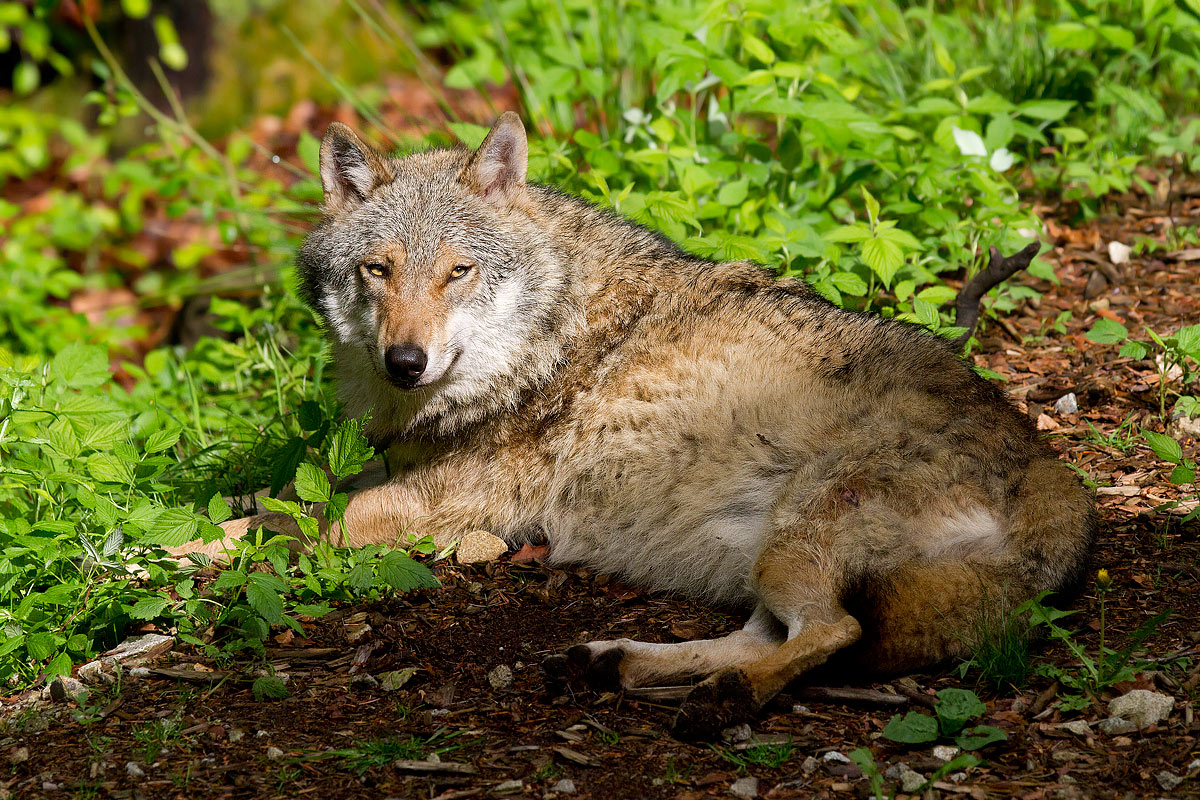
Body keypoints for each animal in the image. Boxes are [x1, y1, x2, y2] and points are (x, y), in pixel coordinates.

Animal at [194, 112, 1095, 738]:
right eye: (378, 270)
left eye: (458, 272)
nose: (405, 361)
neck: (547, 329)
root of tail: (1060, 482)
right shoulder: (399, 463)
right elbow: (283, 496)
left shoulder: (453, 504)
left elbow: (300, 522)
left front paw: (185, 549)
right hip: (770, 560)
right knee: (771, 634)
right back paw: (619, 664)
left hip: (801, 534)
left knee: (831, 633)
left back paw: (721, 699)